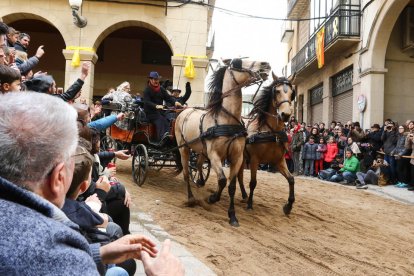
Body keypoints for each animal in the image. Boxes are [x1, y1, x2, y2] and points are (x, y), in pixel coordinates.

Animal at [175, 58, 272, 226]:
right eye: (237, 62)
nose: (265, 64)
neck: (226, 120)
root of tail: (184, 111)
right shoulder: (215, 155)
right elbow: (221, 180)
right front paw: (212, 198)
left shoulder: (237, 157)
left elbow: (231, 185)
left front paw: (232, 215)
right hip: (184, 148)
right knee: (186, 173)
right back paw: (191, 198)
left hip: (201, 150)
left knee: (198, 164)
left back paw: (200, 182)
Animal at [238, 73, 296, 216]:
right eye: (277, 91)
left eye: (292, 93)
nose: (285, 115)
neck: (272, 133)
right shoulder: (254, 160)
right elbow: (253, 182)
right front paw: (250, 205)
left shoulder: (279, 161)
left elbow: (291, 179)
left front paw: (288, 206)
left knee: (239, 175)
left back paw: (244, 195)